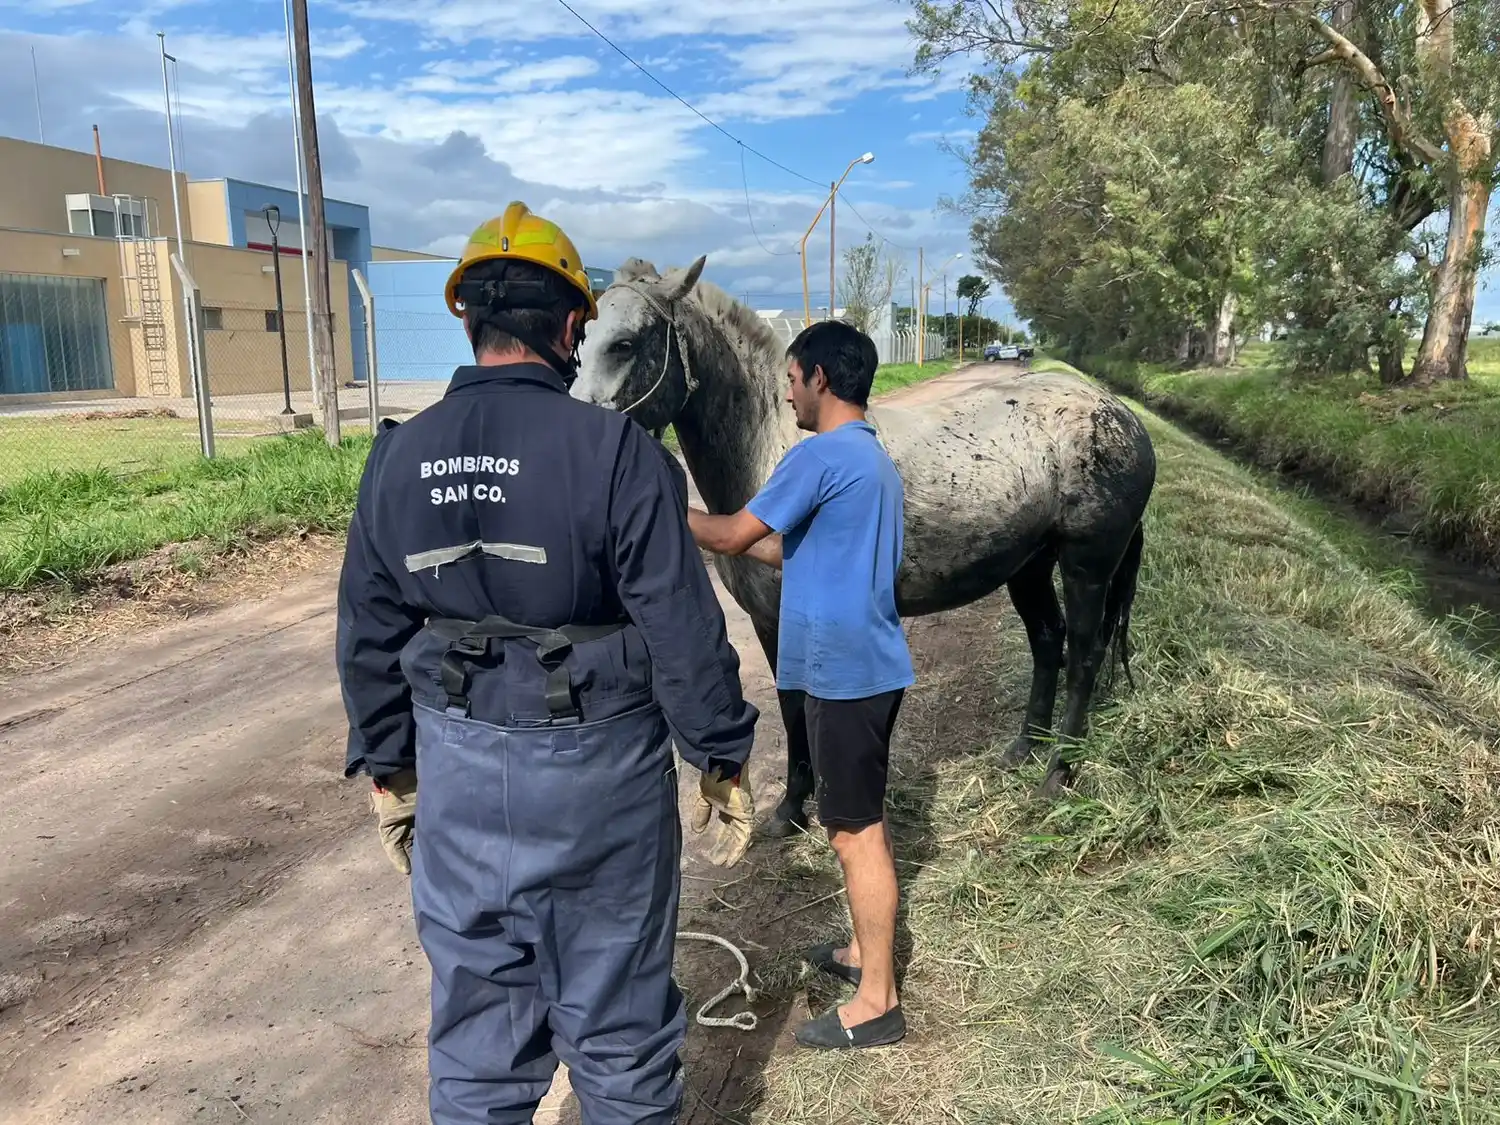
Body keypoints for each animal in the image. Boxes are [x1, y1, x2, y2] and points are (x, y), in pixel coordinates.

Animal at [572, 255, 1157, 835]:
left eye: (624, 343)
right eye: (581, 340)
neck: (772, 448)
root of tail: (1120, 412)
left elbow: (797, 708)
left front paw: (795, 809)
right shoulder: (767, 621)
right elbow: (791, 706)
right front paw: (796, 805)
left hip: (1087, 566)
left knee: (1083, 656)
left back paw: (1060, 771)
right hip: (1029, 567)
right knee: (1047, 641)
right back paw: (1025, 747)